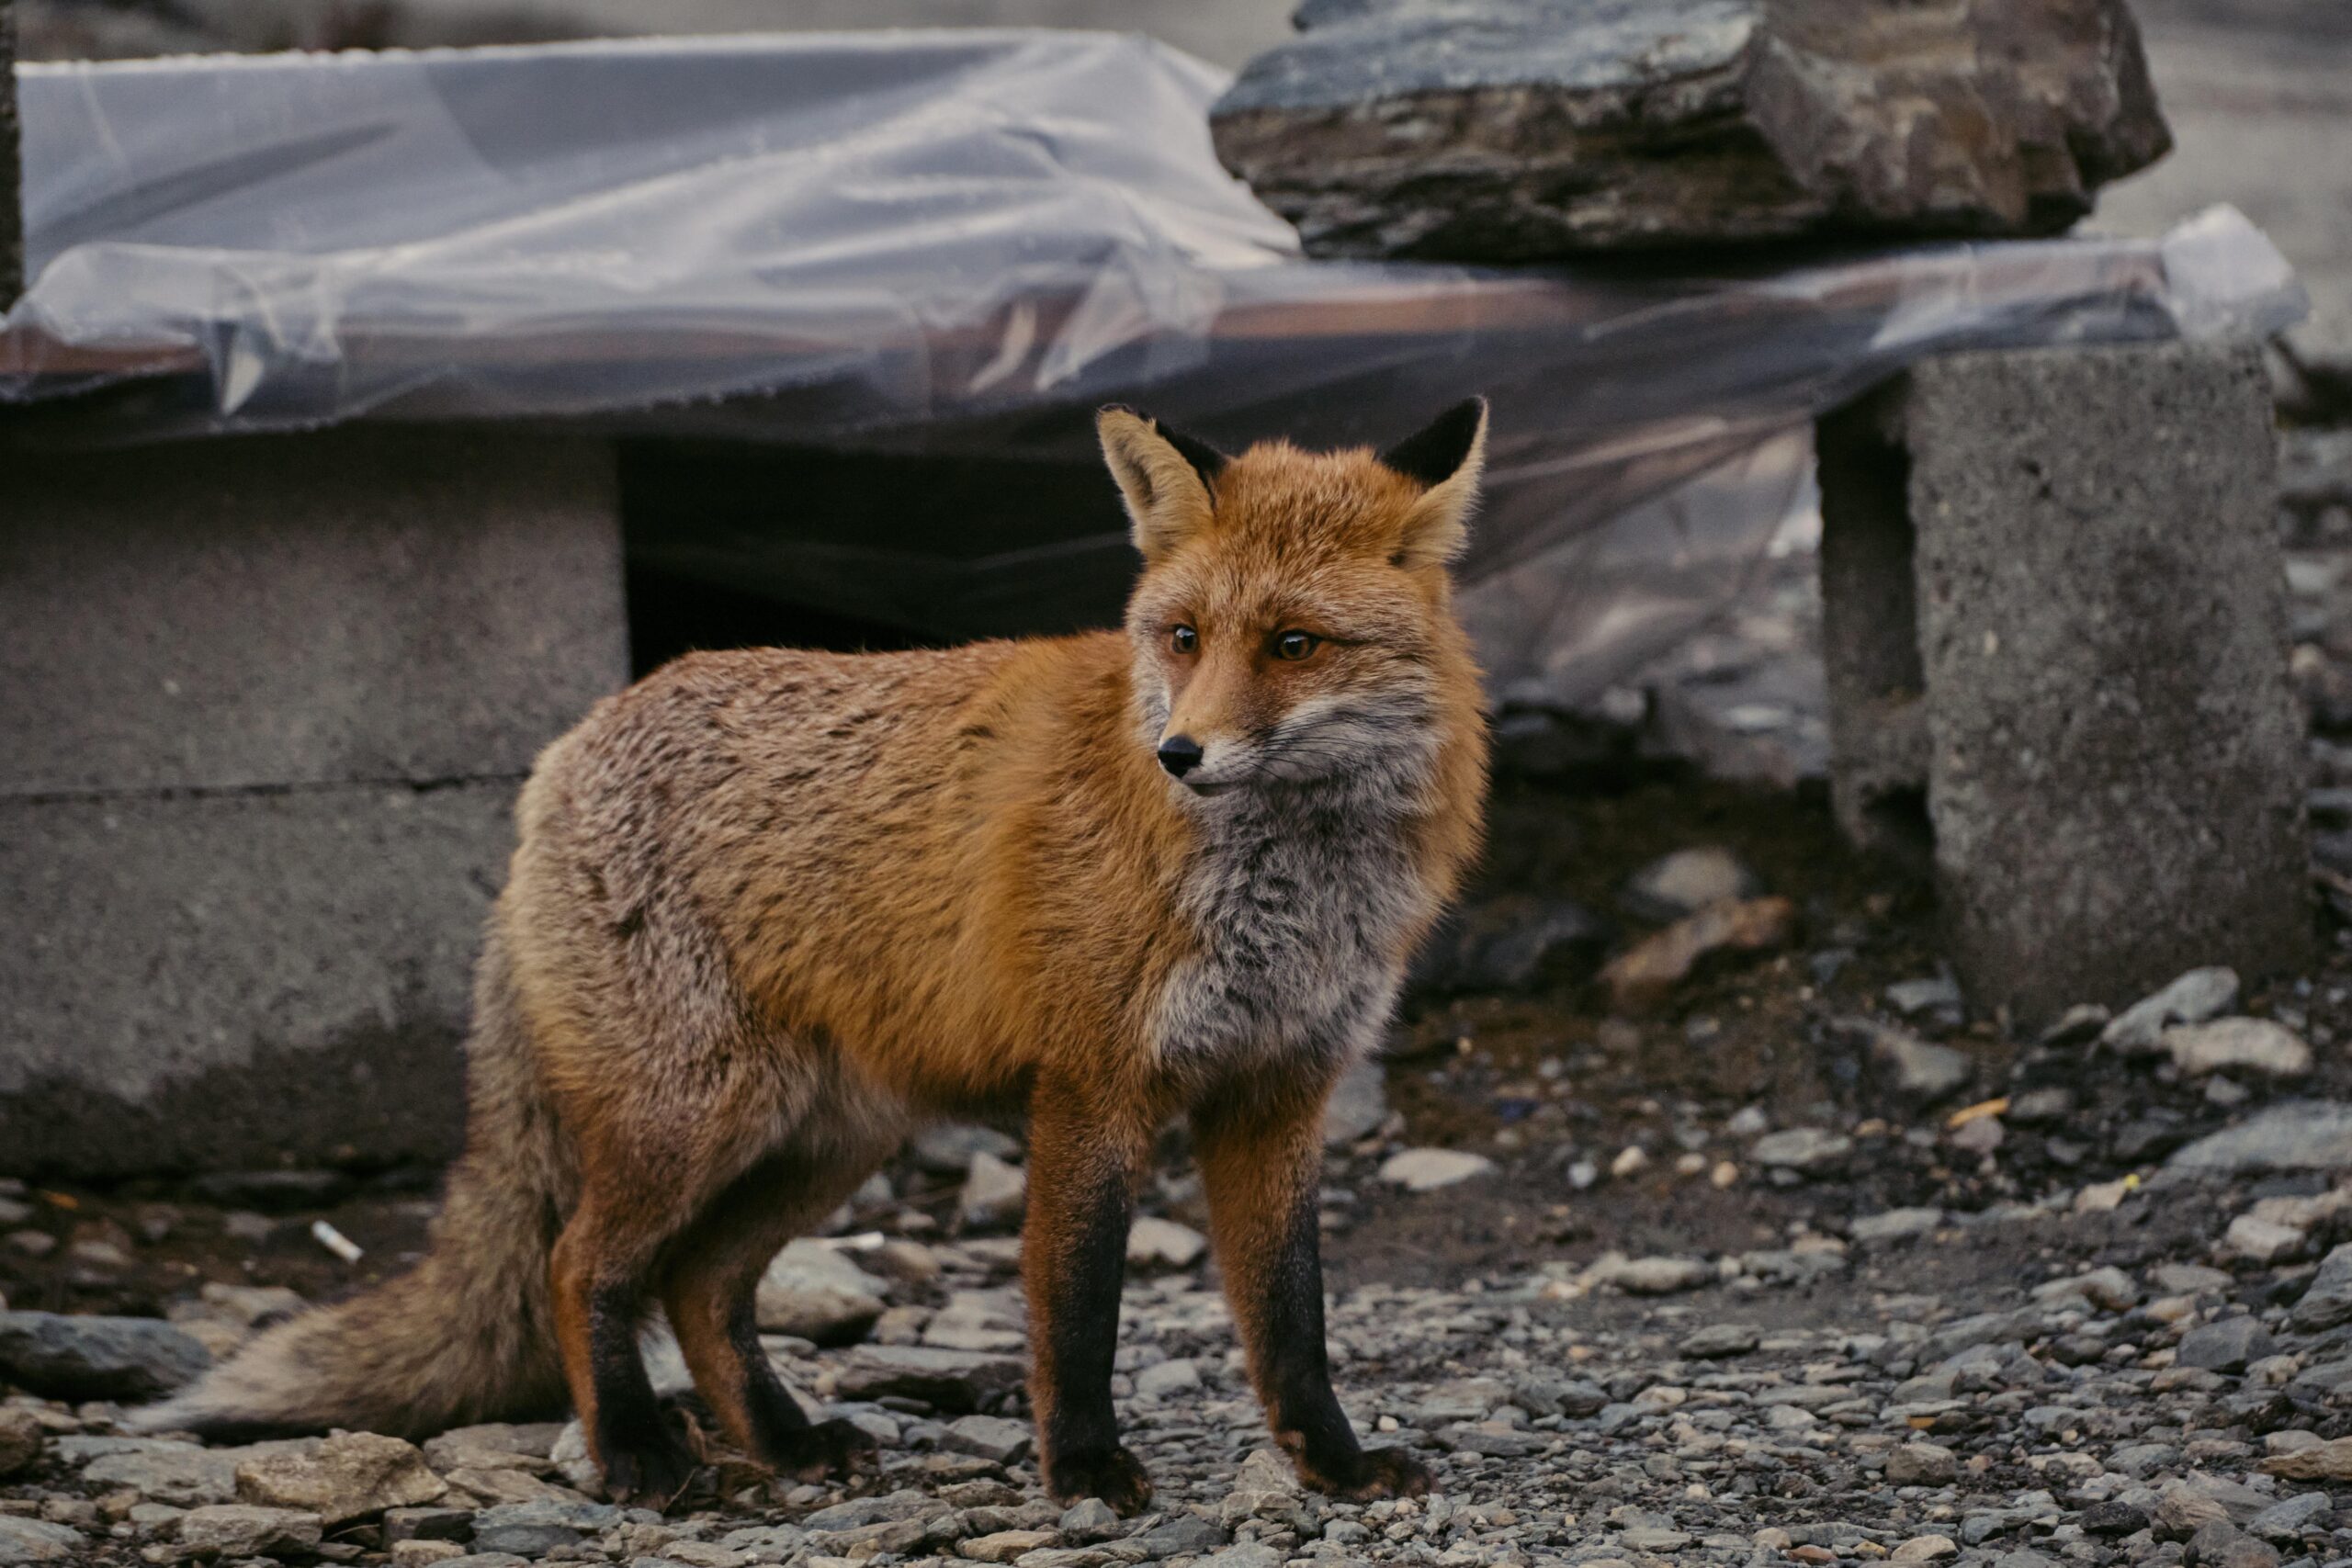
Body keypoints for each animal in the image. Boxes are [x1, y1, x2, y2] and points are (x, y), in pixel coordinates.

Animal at [136, 398, 1494, 1513]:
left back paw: (786, 1445)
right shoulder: (1092, 1084)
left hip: (823, 1138)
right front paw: (1084, 1470)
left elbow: (1292, 1316)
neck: (1289, 885)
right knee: (585, 1265)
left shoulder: (1281, 1088)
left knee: (698, 1287)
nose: (1181, 755)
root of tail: (570, 745)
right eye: (1181, 636)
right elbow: (1078, 1307)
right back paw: (637, 1452)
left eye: (1294, 645)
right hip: (693, 1119)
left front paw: (1335, 1463)